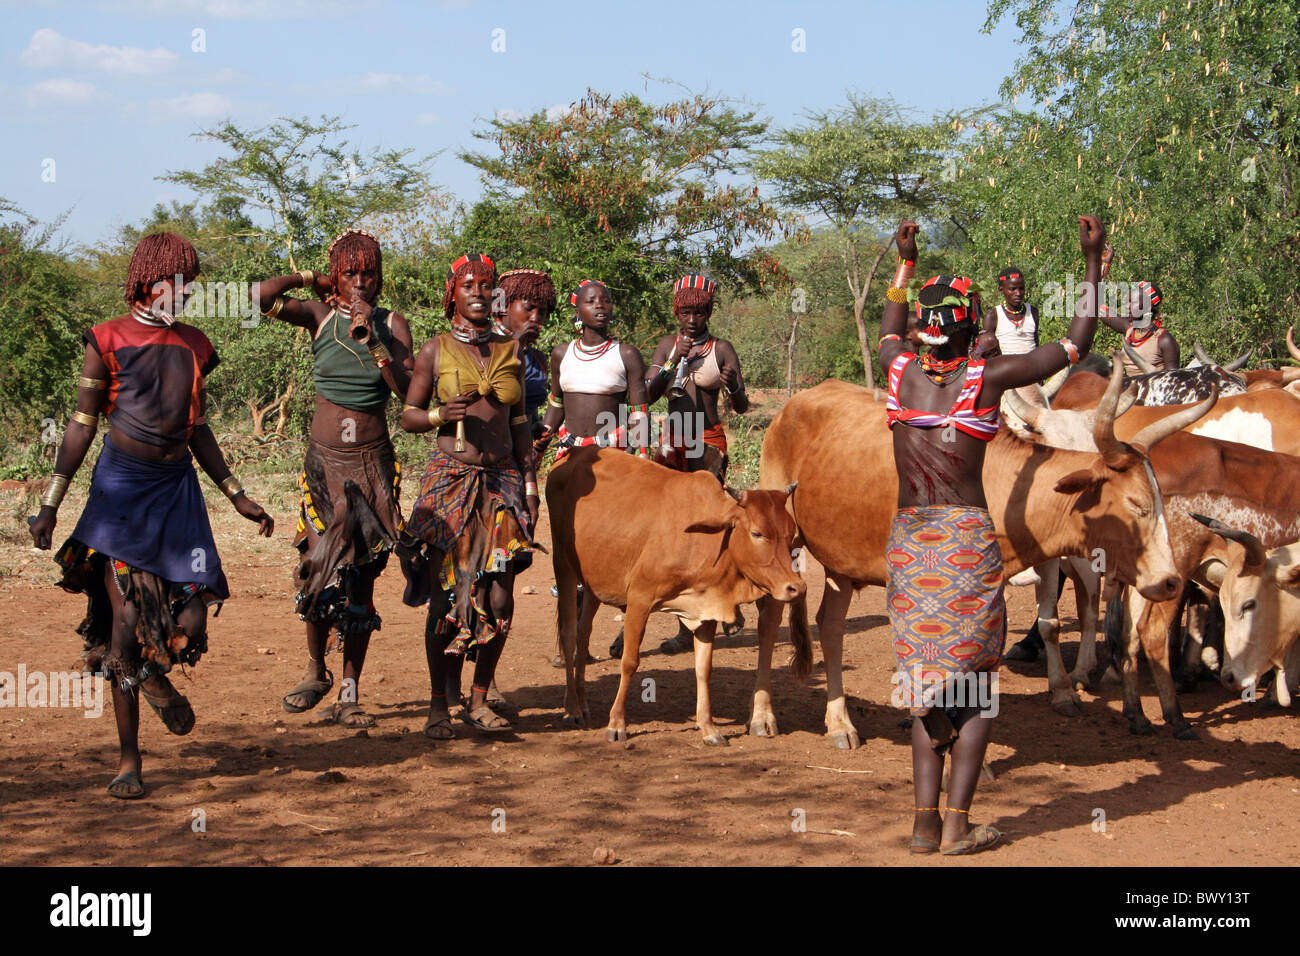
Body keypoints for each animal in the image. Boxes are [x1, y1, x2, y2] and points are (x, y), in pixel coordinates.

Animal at [543, 447, 806, 749]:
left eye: (791, 533)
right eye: (757, 533)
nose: (796, 587)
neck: (709, 541)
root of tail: (574, 453)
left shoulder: (705, 611)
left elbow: (703, 669)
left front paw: (709, 728)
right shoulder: (639, 598)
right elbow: (630, 662)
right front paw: (616, 724)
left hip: (594, 581)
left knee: (583, 633)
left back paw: (583, 703)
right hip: (563, 565)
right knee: (569, 636)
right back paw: (572, 708)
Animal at [748, 371, 1190, 749]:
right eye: (1136, 504)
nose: (1171, 581)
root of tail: (792, 406)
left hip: (841, 560)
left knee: (831, 626)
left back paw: (840, 723)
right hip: (779, 542)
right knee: (770, 618)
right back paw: (763, 716)